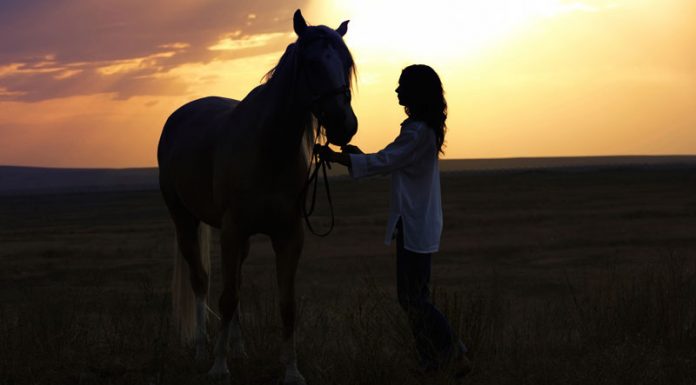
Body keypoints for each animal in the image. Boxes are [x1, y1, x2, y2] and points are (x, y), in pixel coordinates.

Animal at [155, 9, 356, 384]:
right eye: (311, 63)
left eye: (346, 63)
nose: (344, 124)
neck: (269, 147)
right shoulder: (233, 230)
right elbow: (226, 297)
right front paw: (218, 367)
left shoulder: (288, 235)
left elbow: (285, 304)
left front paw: (291, 371)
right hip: (185, 220)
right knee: (201, 282)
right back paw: (202, 349)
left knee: (234, 281)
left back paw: (238, 348)